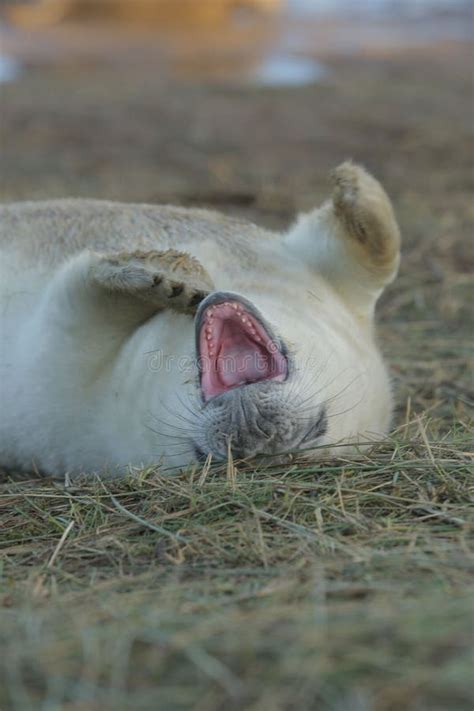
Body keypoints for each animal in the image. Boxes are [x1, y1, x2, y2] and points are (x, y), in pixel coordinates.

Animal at [0, 165, 400, 478]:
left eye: (317, 429)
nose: (255, 431)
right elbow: (382, 252)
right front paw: (355, 184)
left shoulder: (55, 358)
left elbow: (78, 290)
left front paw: (156, 280)